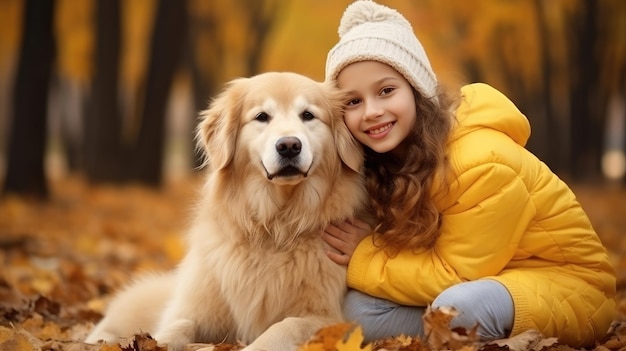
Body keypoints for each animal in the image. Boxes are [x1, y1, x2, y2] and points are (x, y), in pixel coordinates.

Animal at [85, 72, 364, 351]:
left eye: (308, 115)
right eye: (262, 116)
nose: (288, 145)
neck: (275, 227)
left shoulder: (329, 318)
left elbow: (285, 326)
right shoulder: (199, 309)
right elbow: (175, 327)